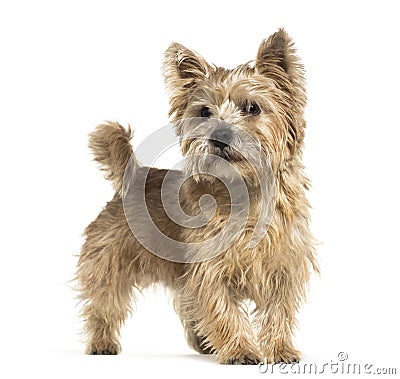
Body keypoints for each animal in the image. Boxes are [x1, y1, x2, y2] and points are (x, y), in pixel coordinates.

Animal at [76, 29, 318, 366]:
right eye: (204, 112)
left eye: (252, 108)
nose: (219, 135)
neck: (246, 189)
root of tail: (132, 175)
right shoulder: (210, 269)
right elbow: (223, 309)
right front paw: (241, 350)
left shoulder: (283, 267)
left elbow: (277, 312)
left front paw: (280, 349)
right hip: (110, 264)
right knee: (104, 304)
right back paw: (102, 342)